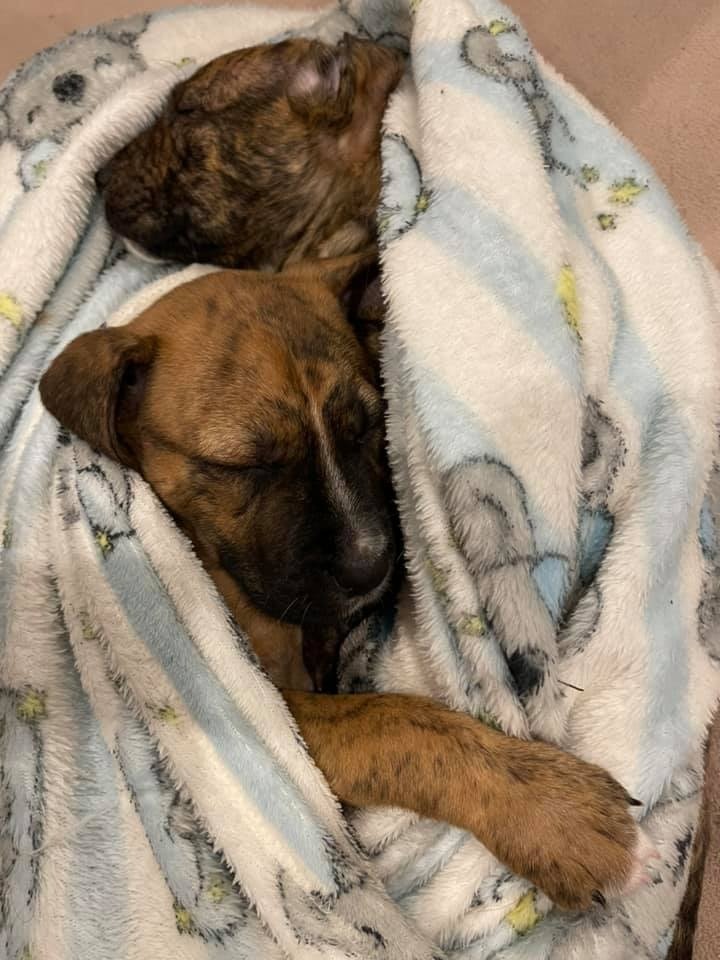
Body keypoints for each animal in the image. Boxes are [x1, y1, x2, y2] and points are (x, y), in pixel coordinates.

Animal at [39, 251, 654, 912]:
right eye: (244, 465)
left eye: (366, 426)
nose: (373, 567)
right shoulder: (264, 711)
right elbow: (393, 724)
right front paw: (555, 813)